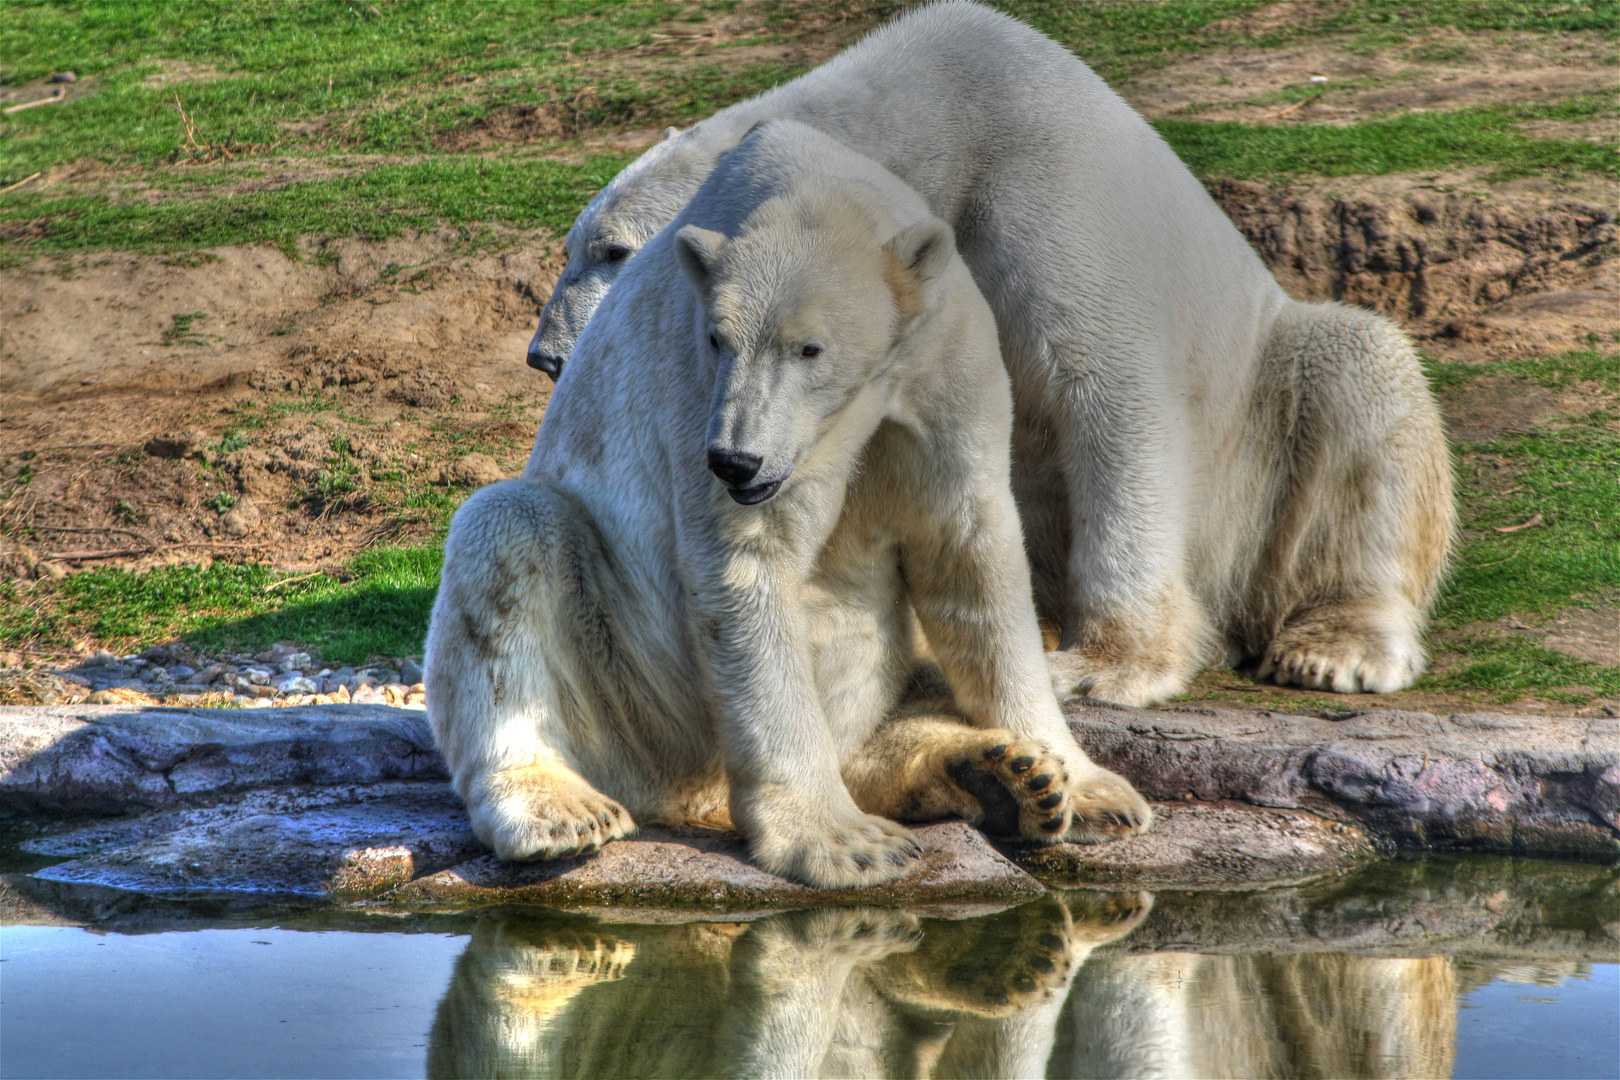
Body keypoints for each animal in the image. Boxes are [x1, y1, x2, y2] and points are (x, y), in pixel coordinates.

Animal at [424, 122, 1146, 893]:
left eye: (810, 348)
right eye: (719, 339)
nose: (734, 461)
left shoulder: (944, 366)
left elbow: (970, 553)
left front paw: (1094, 793)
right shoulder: (700, 397)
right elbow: (750, 574)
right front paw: (846, 843)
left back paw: (1006, 776)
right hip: (629, 688)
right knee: (511, 533)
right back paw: (562, 809)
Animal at [528, 2, 1458, 709]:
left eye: (610, 250)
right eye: (575, 246)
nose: (544, 355)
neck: (945, 125)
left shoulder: (1047, 197)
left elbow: (1113, 398)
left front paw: (1105, 667)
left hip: (1260, 431)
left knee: (1356, 379)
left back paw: (1335, 645)